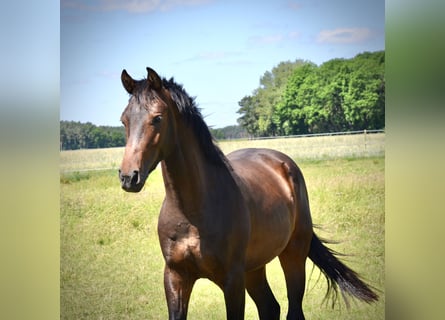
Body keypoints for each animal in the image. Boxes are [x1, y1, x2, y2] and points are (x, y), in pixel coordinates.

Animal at [116, 66, 376, 318]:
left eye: (157, 118)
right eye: (124, 120)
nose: (129, 177)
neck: (193, 212)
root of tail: (283, 163)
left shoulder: (232, 281)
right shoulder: (176, 277)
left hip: (292, 255)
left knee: (293, 310)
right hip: (254, 268)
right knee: (270, 307)